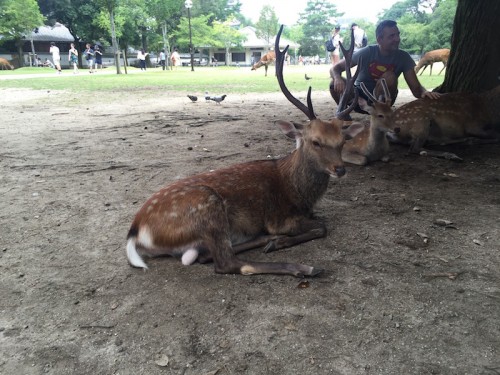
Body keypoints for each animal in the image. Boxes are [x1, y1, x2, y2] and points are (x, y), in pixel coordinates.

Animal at [125, 23, 364, 276]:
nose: (340, 169)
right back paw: (301, 265)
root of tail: (135, 232)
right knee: (226, 262)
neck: (300, 195)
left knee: (206, 255)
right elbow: (323, 227)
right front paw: (281, 240)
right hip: (207, 205)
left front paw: (277, 241)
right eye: (315, 142)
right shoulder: (280, 218)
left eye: (342, 141)